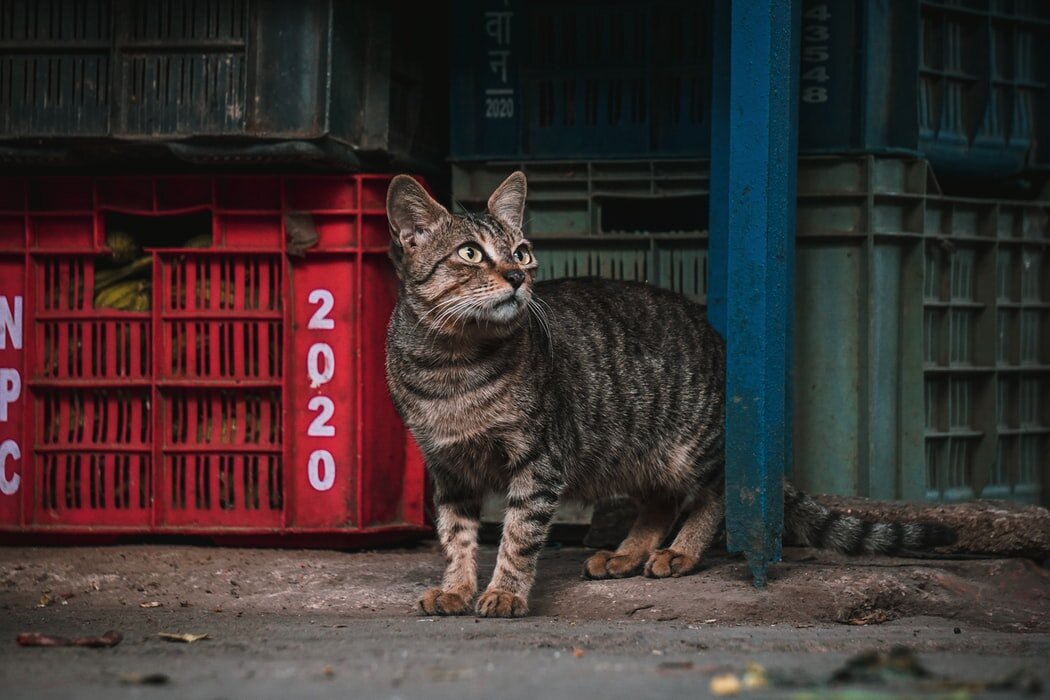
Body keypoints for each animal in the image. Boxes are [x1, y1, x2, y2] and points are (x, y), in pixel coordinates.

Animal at [388, 171, 961, 617]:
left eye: (523, 253)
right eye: (469, 253)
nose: (515, 277)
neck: (454, 366)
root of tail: (724, 348)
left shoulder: (539, 461)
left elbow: (518, 535)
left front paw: (506, 591)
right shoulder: (448, 469)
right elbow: (457, 536)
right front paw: (456, 588)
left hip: (695, 447)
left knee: (720, 494)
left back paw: (680, 552)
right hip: (630, 453)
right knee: (660, 501)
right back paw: (627, 554)